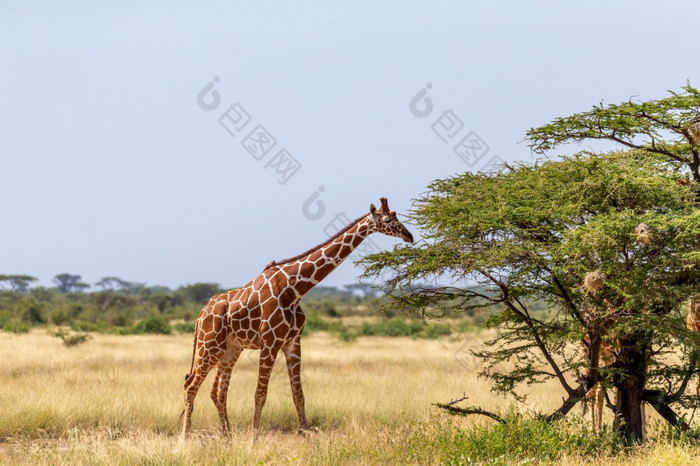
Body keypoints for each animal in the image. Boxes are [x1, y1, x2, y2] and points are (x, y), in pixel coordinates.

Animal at [180, 198, 412, 438]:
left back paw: (228, 439)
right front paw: (254, 441)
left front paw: (308, 436)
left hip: (229, 349)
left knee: (217, 391)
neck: (294, 289)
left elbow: (298, 395)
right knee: (190, 385)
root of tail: (200, 315)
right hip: (209, 346)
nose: (409, 236)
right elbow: (260, 394)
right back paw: (185, 438)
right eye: (388, 220)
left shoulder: (292, 341)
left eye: (396, 215)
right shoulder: (269, 342)